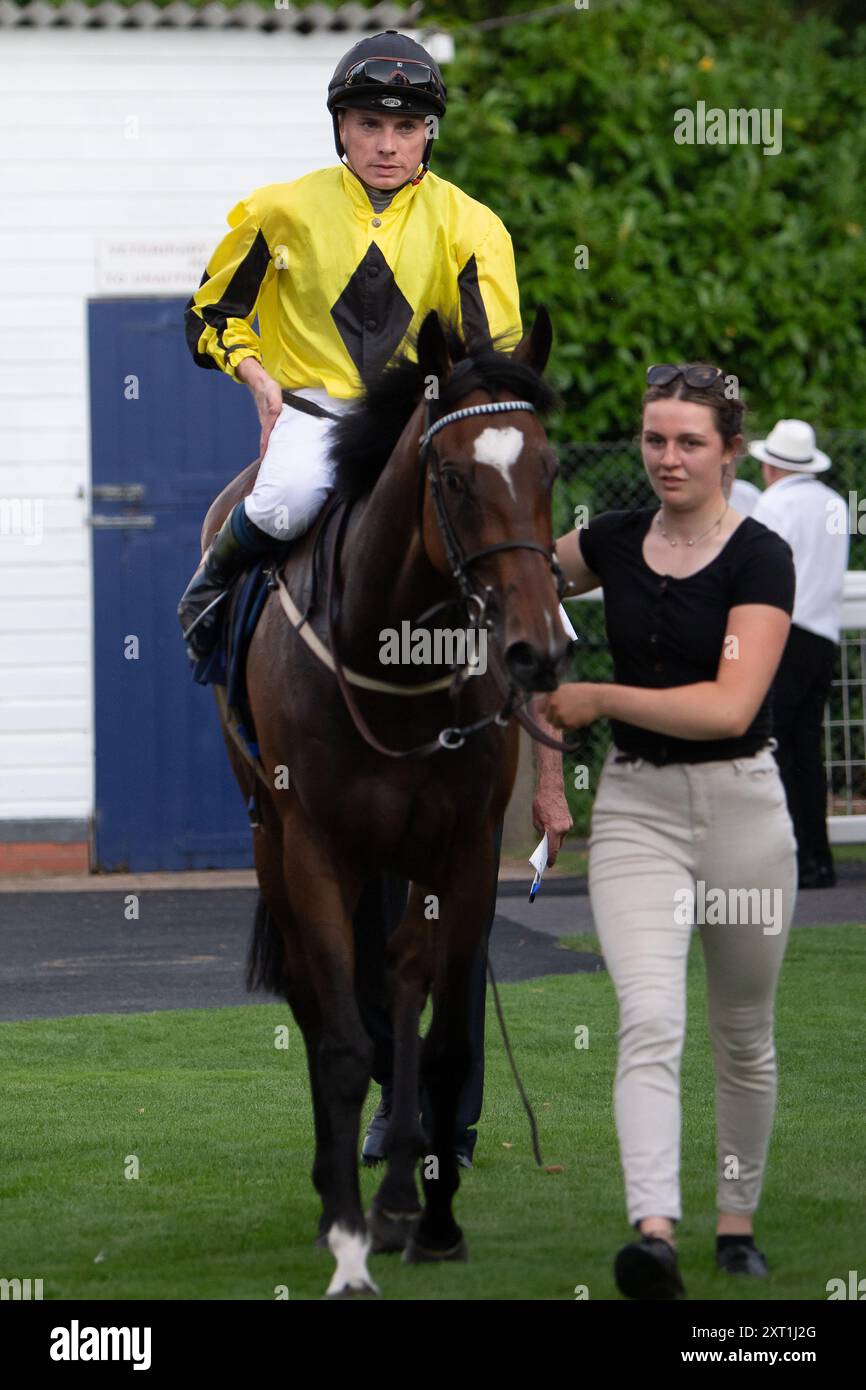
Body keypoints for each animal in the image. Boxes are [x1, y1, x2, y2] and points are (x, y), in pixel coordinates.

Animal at [200, 309, 572, 1295]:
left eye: (550, 469)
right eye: (452, 478)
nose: (536, 650)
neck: (395, 661)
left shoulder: (465, 850)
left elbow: (441, 1040)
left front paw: (432, 1217)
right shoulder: (316, 847)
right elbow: (338, 1039)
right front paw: (346, 1234)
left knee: (400, 983)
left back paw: (403, 1188)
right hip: (274, 836)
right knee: (316, 996)